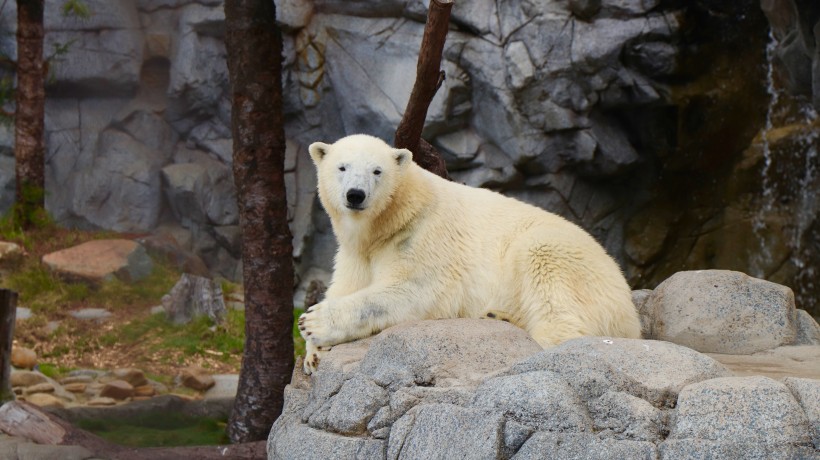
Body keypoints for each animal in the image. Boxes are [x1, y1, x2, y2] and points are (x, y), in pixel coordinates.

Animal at [298, 133, 644, 374]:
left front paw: (312, 322)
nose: (355, 195)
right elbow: (347, 284)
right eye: (342, 167)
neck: (390, 220)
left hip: (564, 257)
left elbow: (412, 290)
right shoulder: (356, 253)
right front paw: (313, 354)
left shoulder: (424, 236)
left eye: (377, 171)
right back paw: (498, 316)